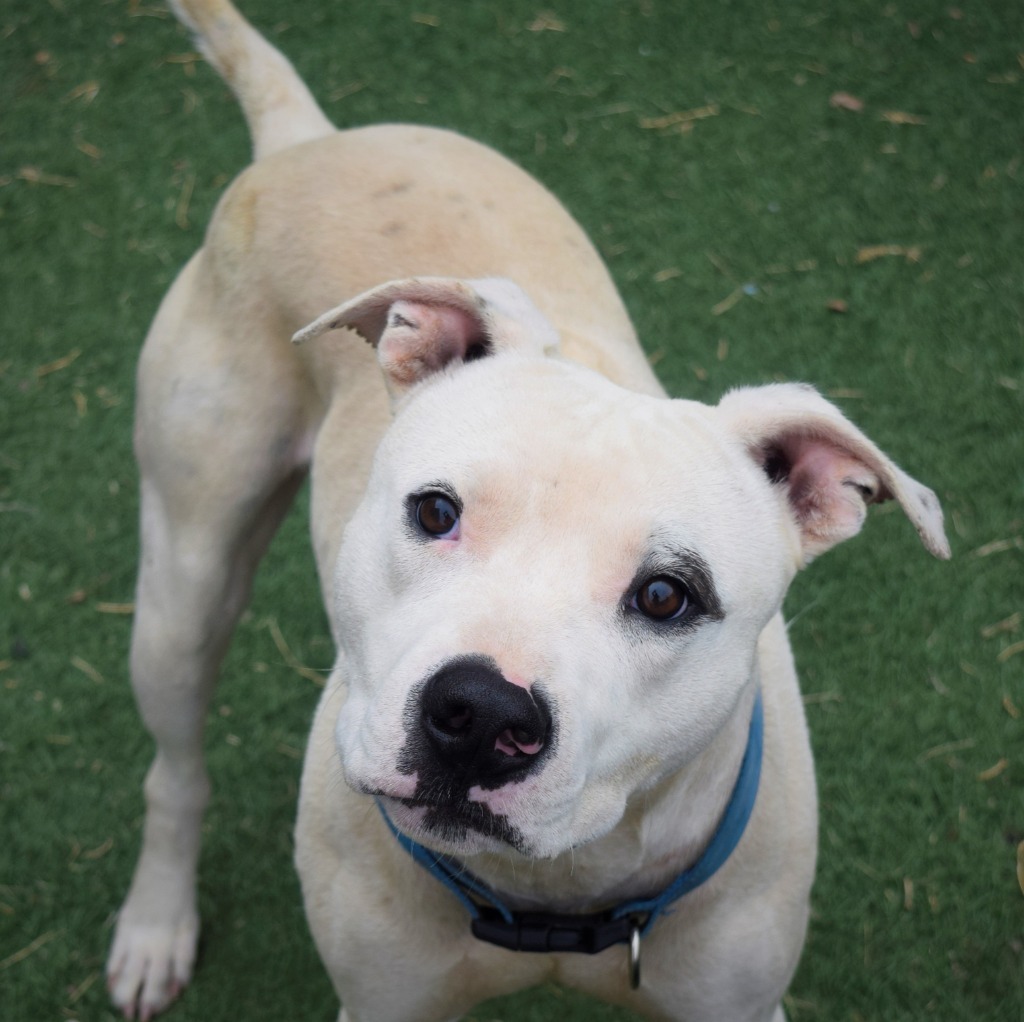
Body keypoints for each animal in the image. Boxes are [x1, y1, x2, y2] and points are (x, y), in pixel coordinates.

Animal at [105, 2, 950, 1022]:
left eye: (666, 596)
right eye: (435, 512)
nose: (478, 714)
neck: (555, 900)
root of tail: (310, 136)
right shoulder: (382, 998)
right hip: (183, 589)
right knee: (175, 770)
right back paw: (156, 926)